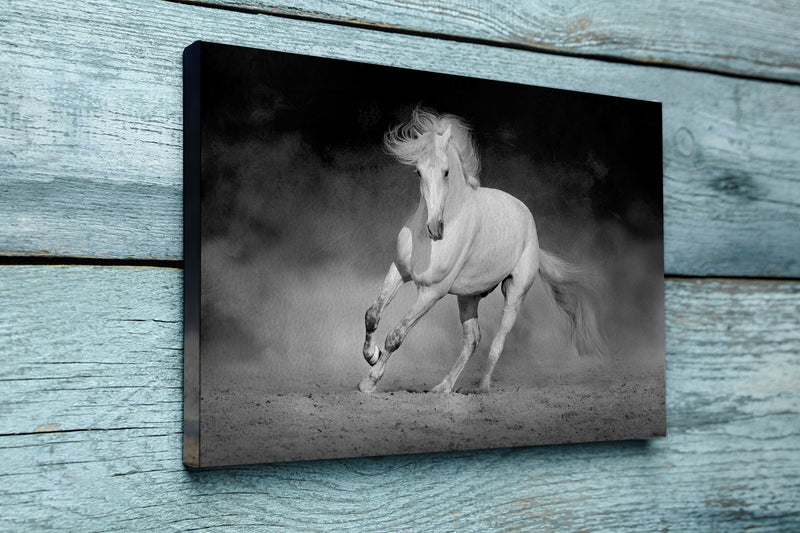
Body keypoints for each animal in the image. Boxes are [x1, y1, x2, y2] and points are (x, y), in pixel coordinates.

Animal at [360, 107, 604, 390]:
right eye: (418, 172)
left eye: (446, 172)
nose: (435, 229)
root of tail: (532, 232)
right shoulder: (399, 271)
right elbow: (372, 315)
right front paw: (371, 355)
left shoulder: (432, 292)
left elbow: (396, 335)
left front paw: (369, 382)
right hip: (468, 296)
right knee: (472, 340)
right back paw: (443, 388)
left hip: (515, 292)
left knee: (498, 341)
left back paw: (482, 388)